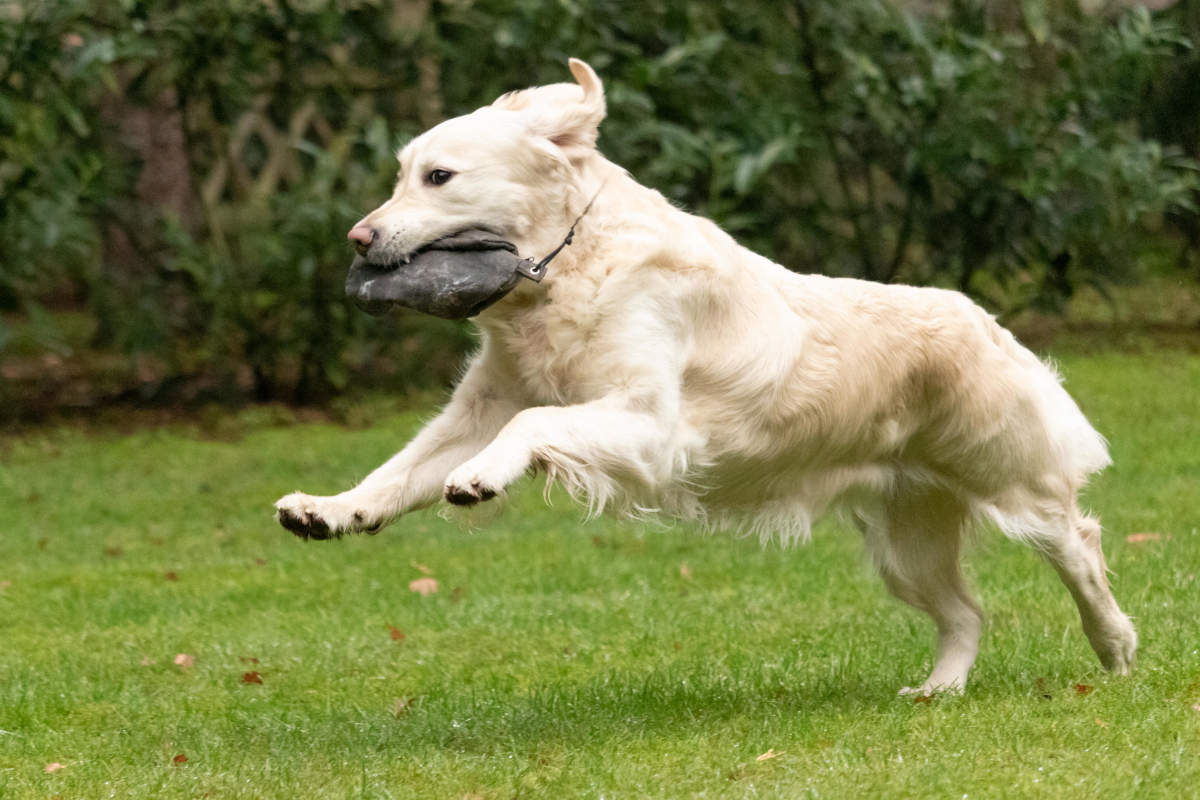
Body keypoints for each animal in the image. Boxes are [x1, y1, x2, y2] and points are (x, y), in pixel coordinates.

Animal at [276, 57, 1137, 695]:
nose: (358, 239)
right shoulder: (480, 408)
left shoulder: (651, 428)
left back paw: (1115, 646)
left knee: (1081, 546)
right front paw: (332, 509)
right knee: (965, 614)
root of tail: (986, 320)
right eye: (402, 175)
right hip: (907, 540)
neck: (567, 270)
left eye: (440, 177)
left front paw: (482, 478)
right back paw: (939, 690)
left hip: (1013, 485)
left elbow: (532, 426)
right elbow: (400, 468)